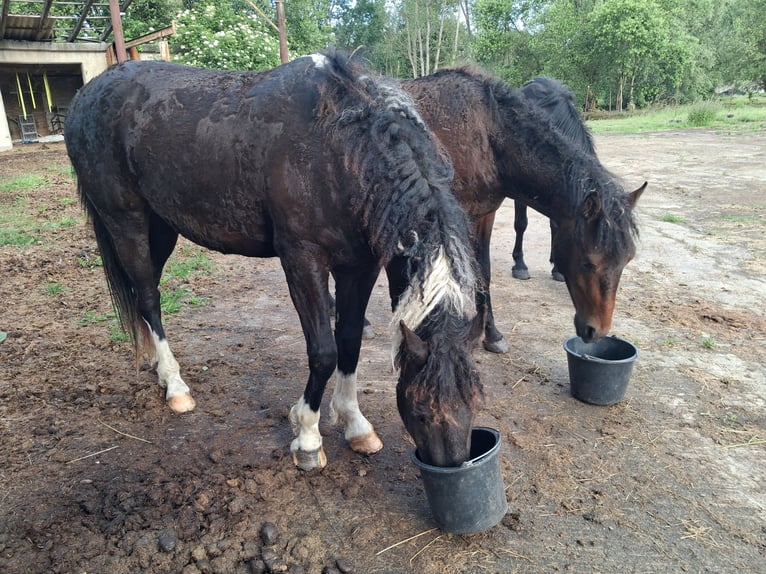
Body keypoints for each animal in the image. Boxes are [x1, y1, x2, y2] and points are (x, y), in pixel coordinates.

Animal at [64, 52, 484, 470]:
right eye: (421, 409)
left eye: (474, 404)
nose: (453, 468)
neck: (338, 151)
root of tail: (87, 95)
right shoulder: (302, 260)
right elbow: (324, 352)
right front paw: (308, 437)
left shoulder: (360, 267)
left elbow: (349, 343)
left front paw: (356, 425)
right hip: (126, 220)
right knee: (149, 297)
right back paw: (176, 386)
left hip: (162, 227)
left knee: (143, 292)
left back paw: (156, 367)